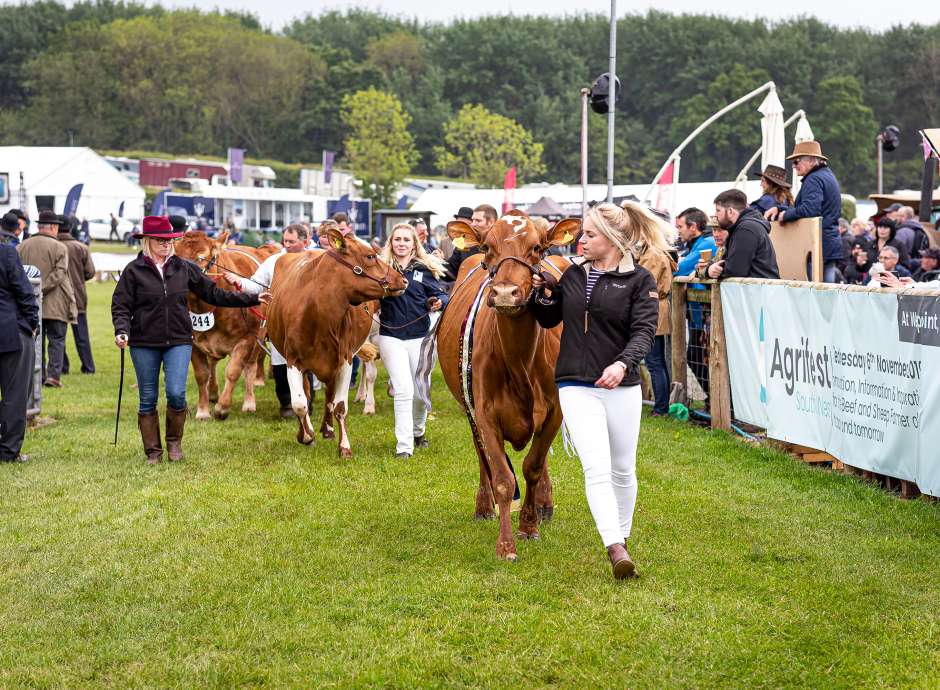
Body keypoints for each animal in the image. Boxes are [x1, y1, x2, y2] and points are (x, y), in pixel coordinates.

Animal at [176, 231, 278, 416]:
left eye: (201, 257)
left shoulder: (247, 339)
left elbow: (233, 371)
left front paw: (222, 407)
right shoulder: (193, 342)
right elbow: (202, 375)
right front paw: (203, 411)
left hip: (259, 336)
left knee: (251, 365)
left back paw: (249, 401)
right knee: (212, 364)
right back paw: (213, 393)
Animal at [268, 227, 408, 456]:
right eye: (370, 256)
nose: (403, 280)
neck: (318, 314)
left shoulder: (344, 360)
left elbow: (340, 406)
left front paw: (344, 446)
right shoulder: (292, 360)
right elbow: (299, 403)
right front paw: (306, 435)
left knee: (330, 395)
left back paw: (328, 429)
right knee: (308, 393)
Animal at [436, 210, 580, 560]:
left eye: (537, 248)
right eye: (488, 247)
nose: (504, 293)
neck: (520, 363)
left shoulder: (555, 411)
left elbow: (533, 466)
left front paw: (529, 526)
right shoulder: (484, 413)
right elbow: (502, 476)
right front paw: (505, 545)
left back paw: (544, 505)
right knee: (482, 457)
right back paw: (483, 507)